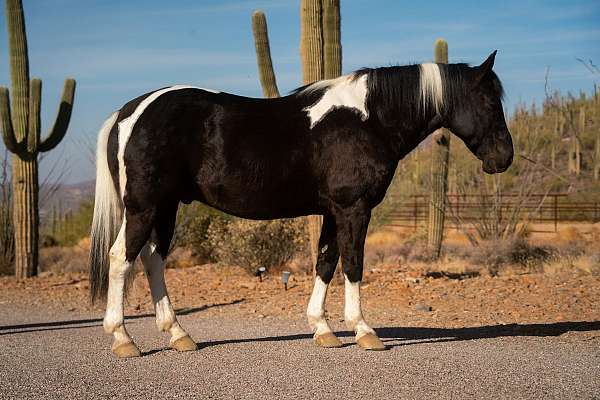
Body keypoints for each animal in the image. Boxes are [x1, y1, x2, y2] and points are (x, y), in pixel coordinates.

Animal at [88, 50, 510, 360]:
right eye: (490, 102)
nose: (504, 158)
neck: (368, 119)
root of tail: (131, 111)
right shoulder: (354, 208)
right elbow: (353, 264)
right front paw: (364, 331)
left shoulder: (333, 211)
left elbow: (325, 262)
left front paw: (322, 330)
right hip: (144, 207)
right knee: (121, 258)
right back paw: (123, 339)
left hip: (167, 207)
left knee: (152, 260)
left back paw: (178, 334)